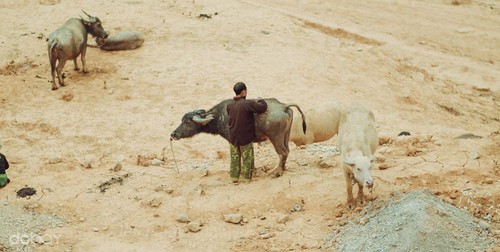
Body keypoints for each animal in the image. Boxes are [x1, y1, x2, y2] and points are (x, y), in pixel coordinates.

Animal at [170, 98, 306, 177]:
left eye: (187, 122)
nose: (173, 134)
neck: (219, 117)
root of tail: (284, 106)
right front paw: (252, 170)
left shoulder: (234, 142)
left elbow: (238, 157)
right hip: (286, 135)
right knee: (287, 150)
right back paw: (283, 168)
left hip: (275, 137)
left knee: (282, 152)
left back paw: (277, 172)